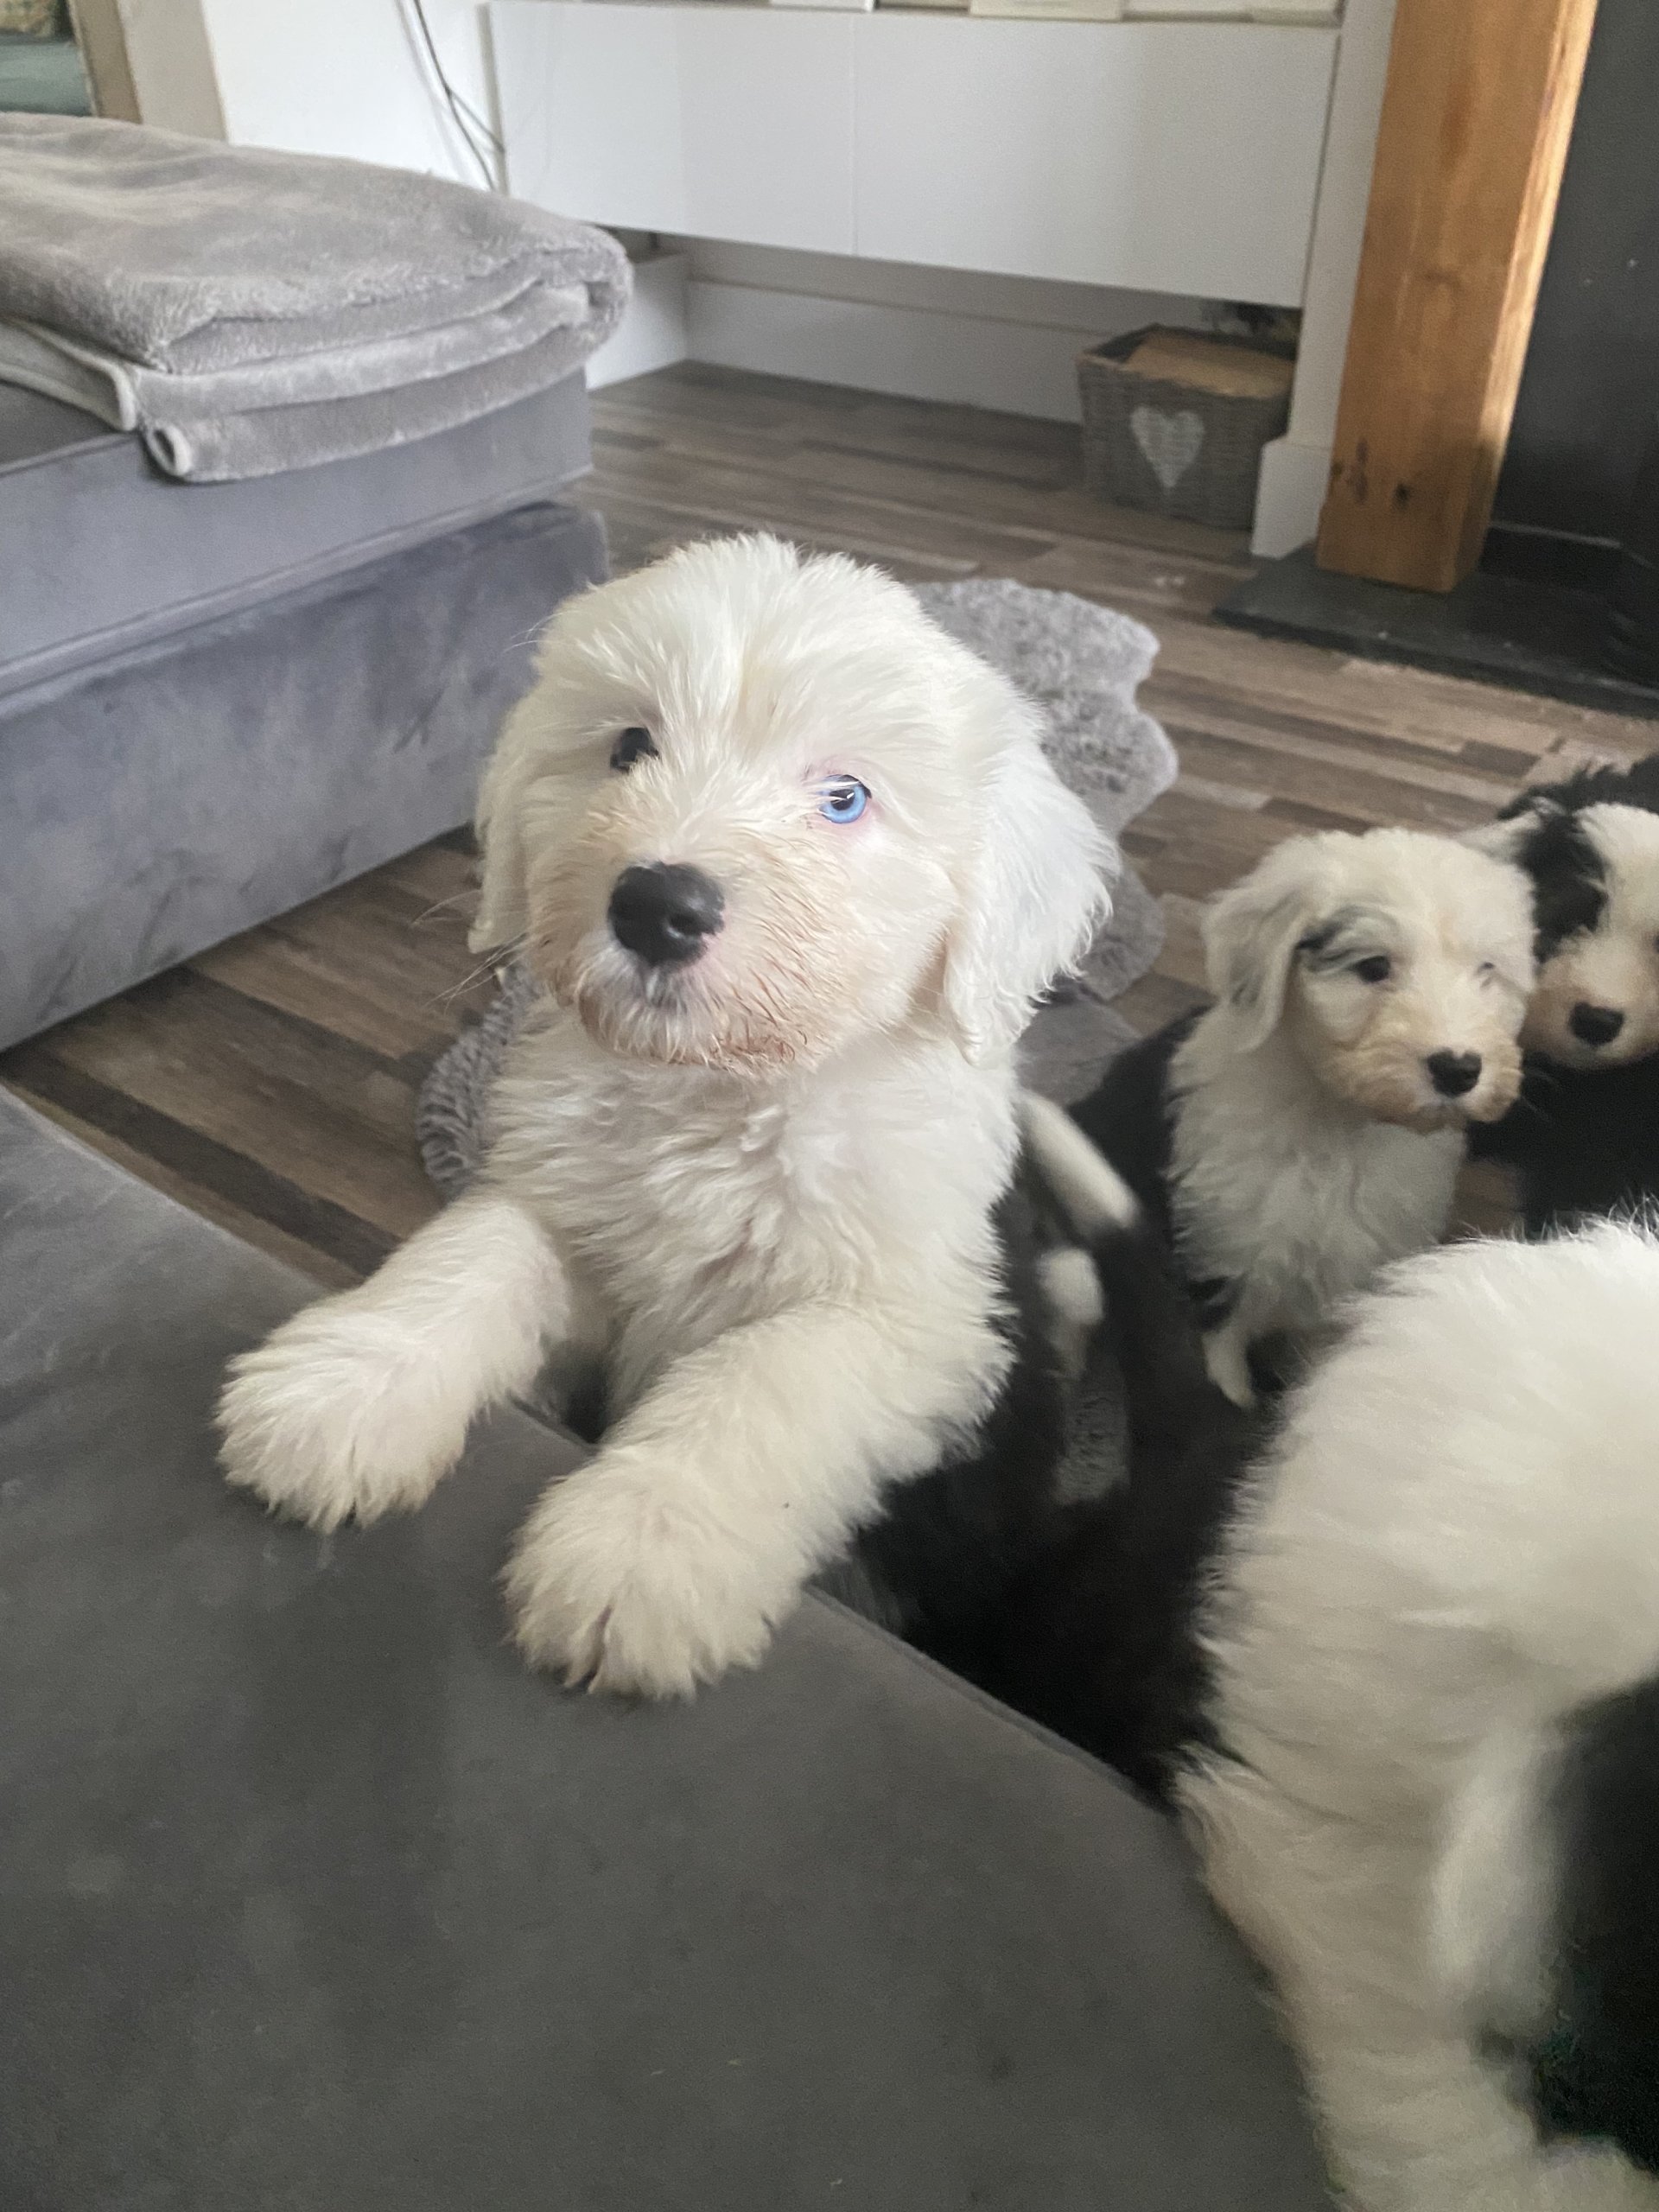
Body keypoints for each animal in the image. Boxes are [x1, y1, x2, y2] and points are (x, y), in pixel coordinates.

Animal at [214, 531, 1110, 1689]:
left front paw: (636, 1551)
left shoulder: (916, 1317)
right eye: (632, 745)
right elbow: (470, 1259)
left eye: (845, 798)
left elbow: (763, 1377)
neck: (715, 1095)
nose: (657, 906)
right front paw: (339, 1392)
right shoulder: (557, 1198)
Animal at [1071, 831, 1539, 1397]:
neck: (1339, 1130)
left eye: (1486, 970)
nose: (1458, 1069)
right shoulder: (1219, 1265)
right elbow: (1222, 1378)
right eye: (1373, 967)